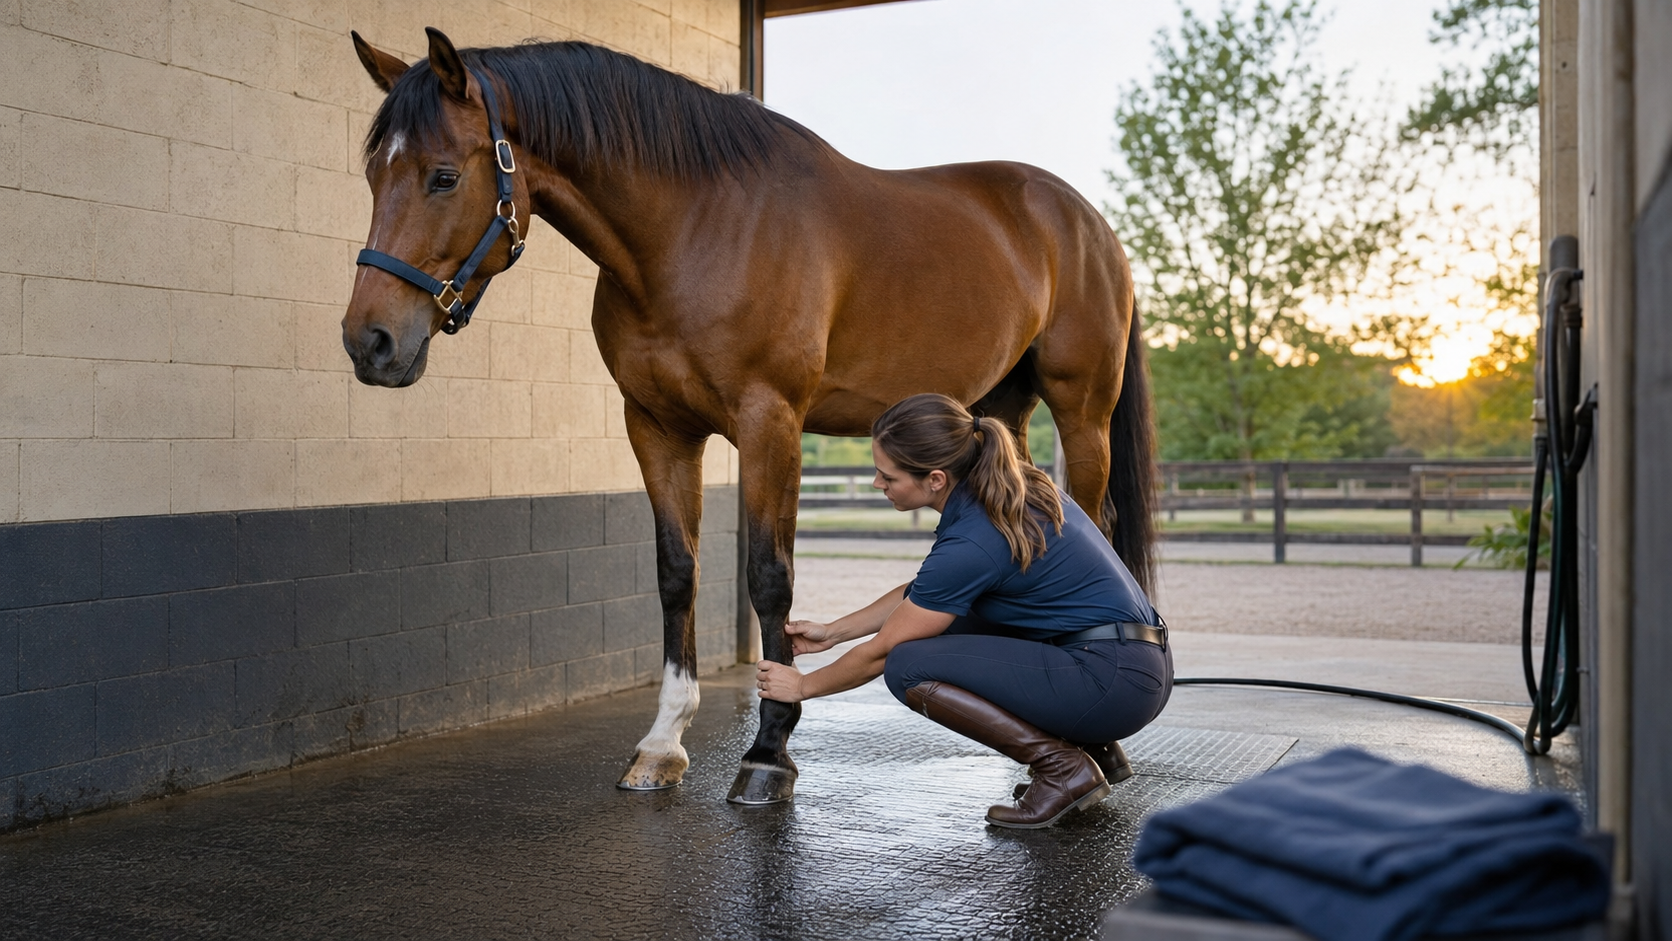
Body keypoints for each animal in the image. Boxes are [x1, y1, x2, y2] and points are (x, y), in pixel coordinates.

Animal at [343, 27, 1157, 805]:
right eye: (372, 174)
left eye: (444, 175)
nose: (368, 342)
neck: (693, 229)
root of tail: (1089, 222)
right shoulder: (656, 426)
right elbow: (677, 571)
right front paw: (662, 744)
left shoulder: (771, 421)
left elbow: (770, 576)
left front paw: (768, 751)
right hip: (1004, 410)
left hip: (1081, 409)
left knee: (1091, 522)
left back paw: (1104, 748)